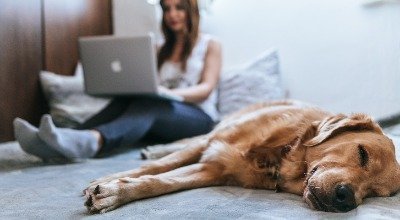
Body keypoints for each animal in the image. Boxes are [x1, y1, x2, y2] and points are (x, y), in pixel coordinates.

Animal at [84, 100, 400, 213]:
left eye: (374, 193)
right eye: (362, 153)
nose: (346, 198)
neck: (279, 152)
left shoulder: (211, 170)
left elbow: (161, 182)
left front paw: (114, 192)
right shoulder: (212, 144)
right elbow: (162, 166)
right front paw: (110, 180)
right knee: (183, 144)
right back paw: (153, 148)